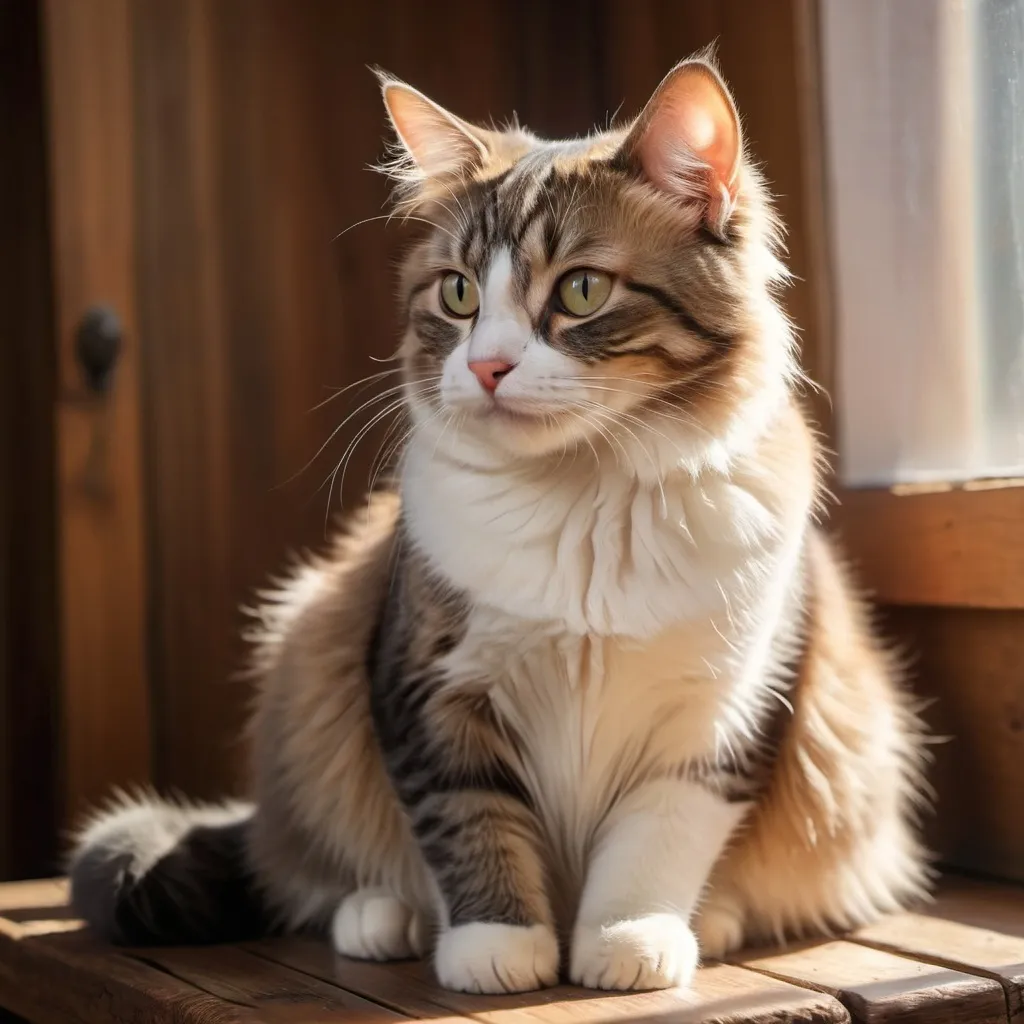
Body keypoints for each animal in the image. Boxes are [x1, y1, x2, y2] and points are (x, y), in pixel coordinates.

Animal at [70, 54, 937, 991]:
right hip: (309, 660)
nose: (486, 367)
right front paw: (499, 945)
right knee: (313, 868)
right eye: (456, 294)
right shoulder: (430, 688)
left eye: (581, 290)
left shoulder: (724, 711)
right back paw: (384, 917)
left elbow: (654, 843)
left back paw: (715, 921)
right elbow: (472, 825)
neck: (586, 498)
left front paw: (627, 941)